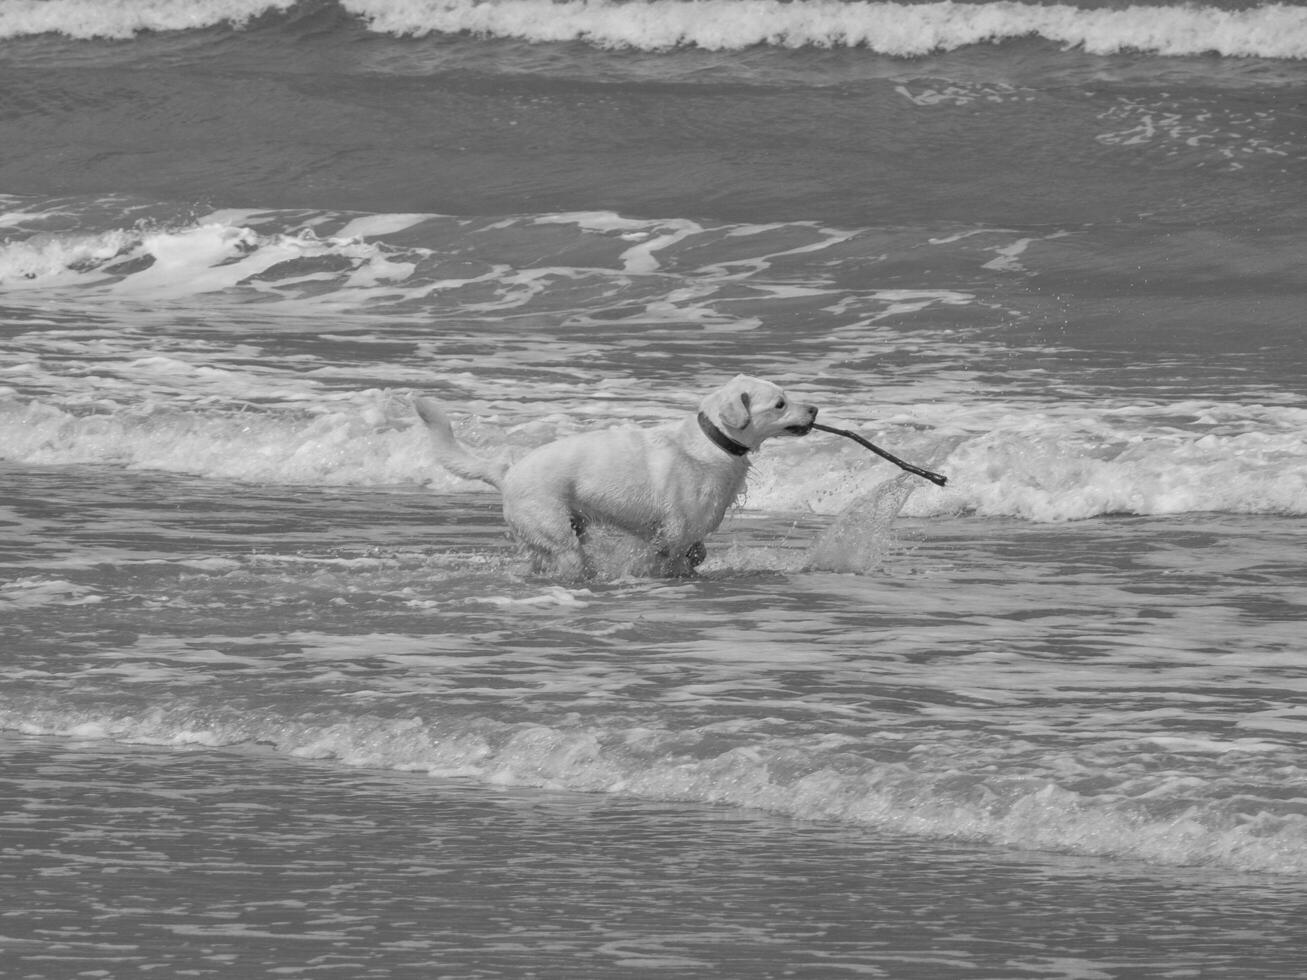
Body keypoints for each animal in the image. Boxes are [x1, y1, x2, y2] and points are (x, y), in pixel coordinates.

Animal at [415, 373, 815, 574]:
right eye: (780, 404)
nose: (814, 408)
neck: (713, 441)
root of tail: (507, 471)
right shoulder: (673, 534)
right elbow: (670, 558)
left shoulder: (686, 535)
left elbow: (696, 554)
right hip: (558, 534)